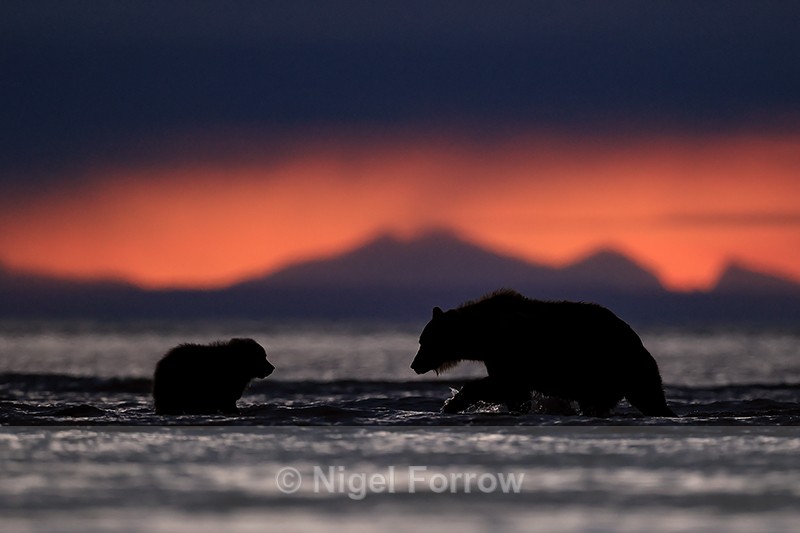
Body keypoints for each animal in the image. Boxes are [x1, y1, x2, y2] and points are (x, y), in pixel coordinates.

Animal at [411, 290, 676, 417]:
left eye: (424, 341)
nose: (415, 364)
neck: (484, 336)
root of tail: (637, 341)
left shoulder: (510, 347)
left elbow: (504, 383)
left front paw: (453, 402)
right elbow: (514, 392)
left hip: (610, 366)